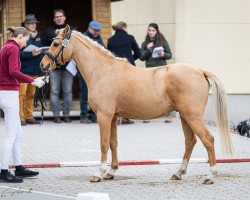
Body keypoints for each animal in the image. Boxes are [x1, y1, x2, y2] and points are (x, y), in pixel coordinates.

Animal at [40, 24, 233, 184]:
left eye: (56, 44)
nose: (43, 65)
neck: (102, 71)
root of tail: (200, 71)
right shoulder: (113, 117)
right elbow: (113, 143)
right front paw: (111, 172)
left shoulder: (104, 116)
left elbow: (103, 143)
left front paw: (99, 174)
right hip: (185, 117)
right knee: (190, 141)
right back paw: (178, 173)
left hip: (193, 117)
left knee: (208, 140)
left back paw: (210, 176)